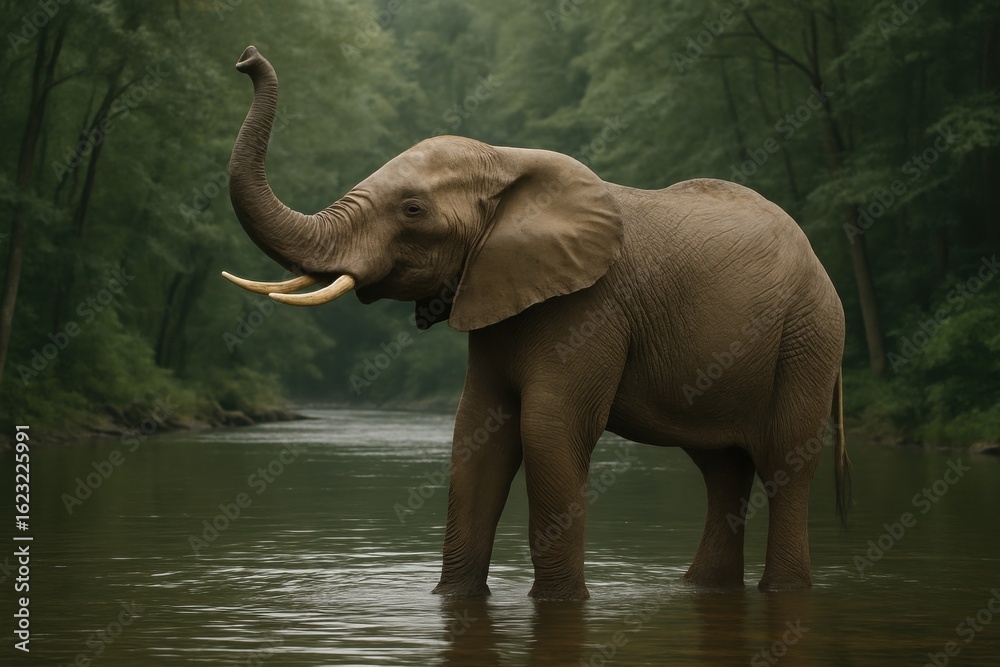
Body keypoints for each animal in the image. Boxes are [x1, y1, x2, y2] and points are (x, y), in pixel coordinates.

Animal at [222, 46, 851, 601]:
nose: (245, 59)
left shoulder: (591, 306)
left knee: (785, 461)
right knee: (722, 468)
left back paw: (783, 589)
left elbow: (549, 431)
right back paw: (702, 589)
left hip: (810, 333)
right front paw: (451, 600)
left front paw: (559, 604)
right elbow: (476, 432)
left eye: (413, 210)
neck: (506, 160)